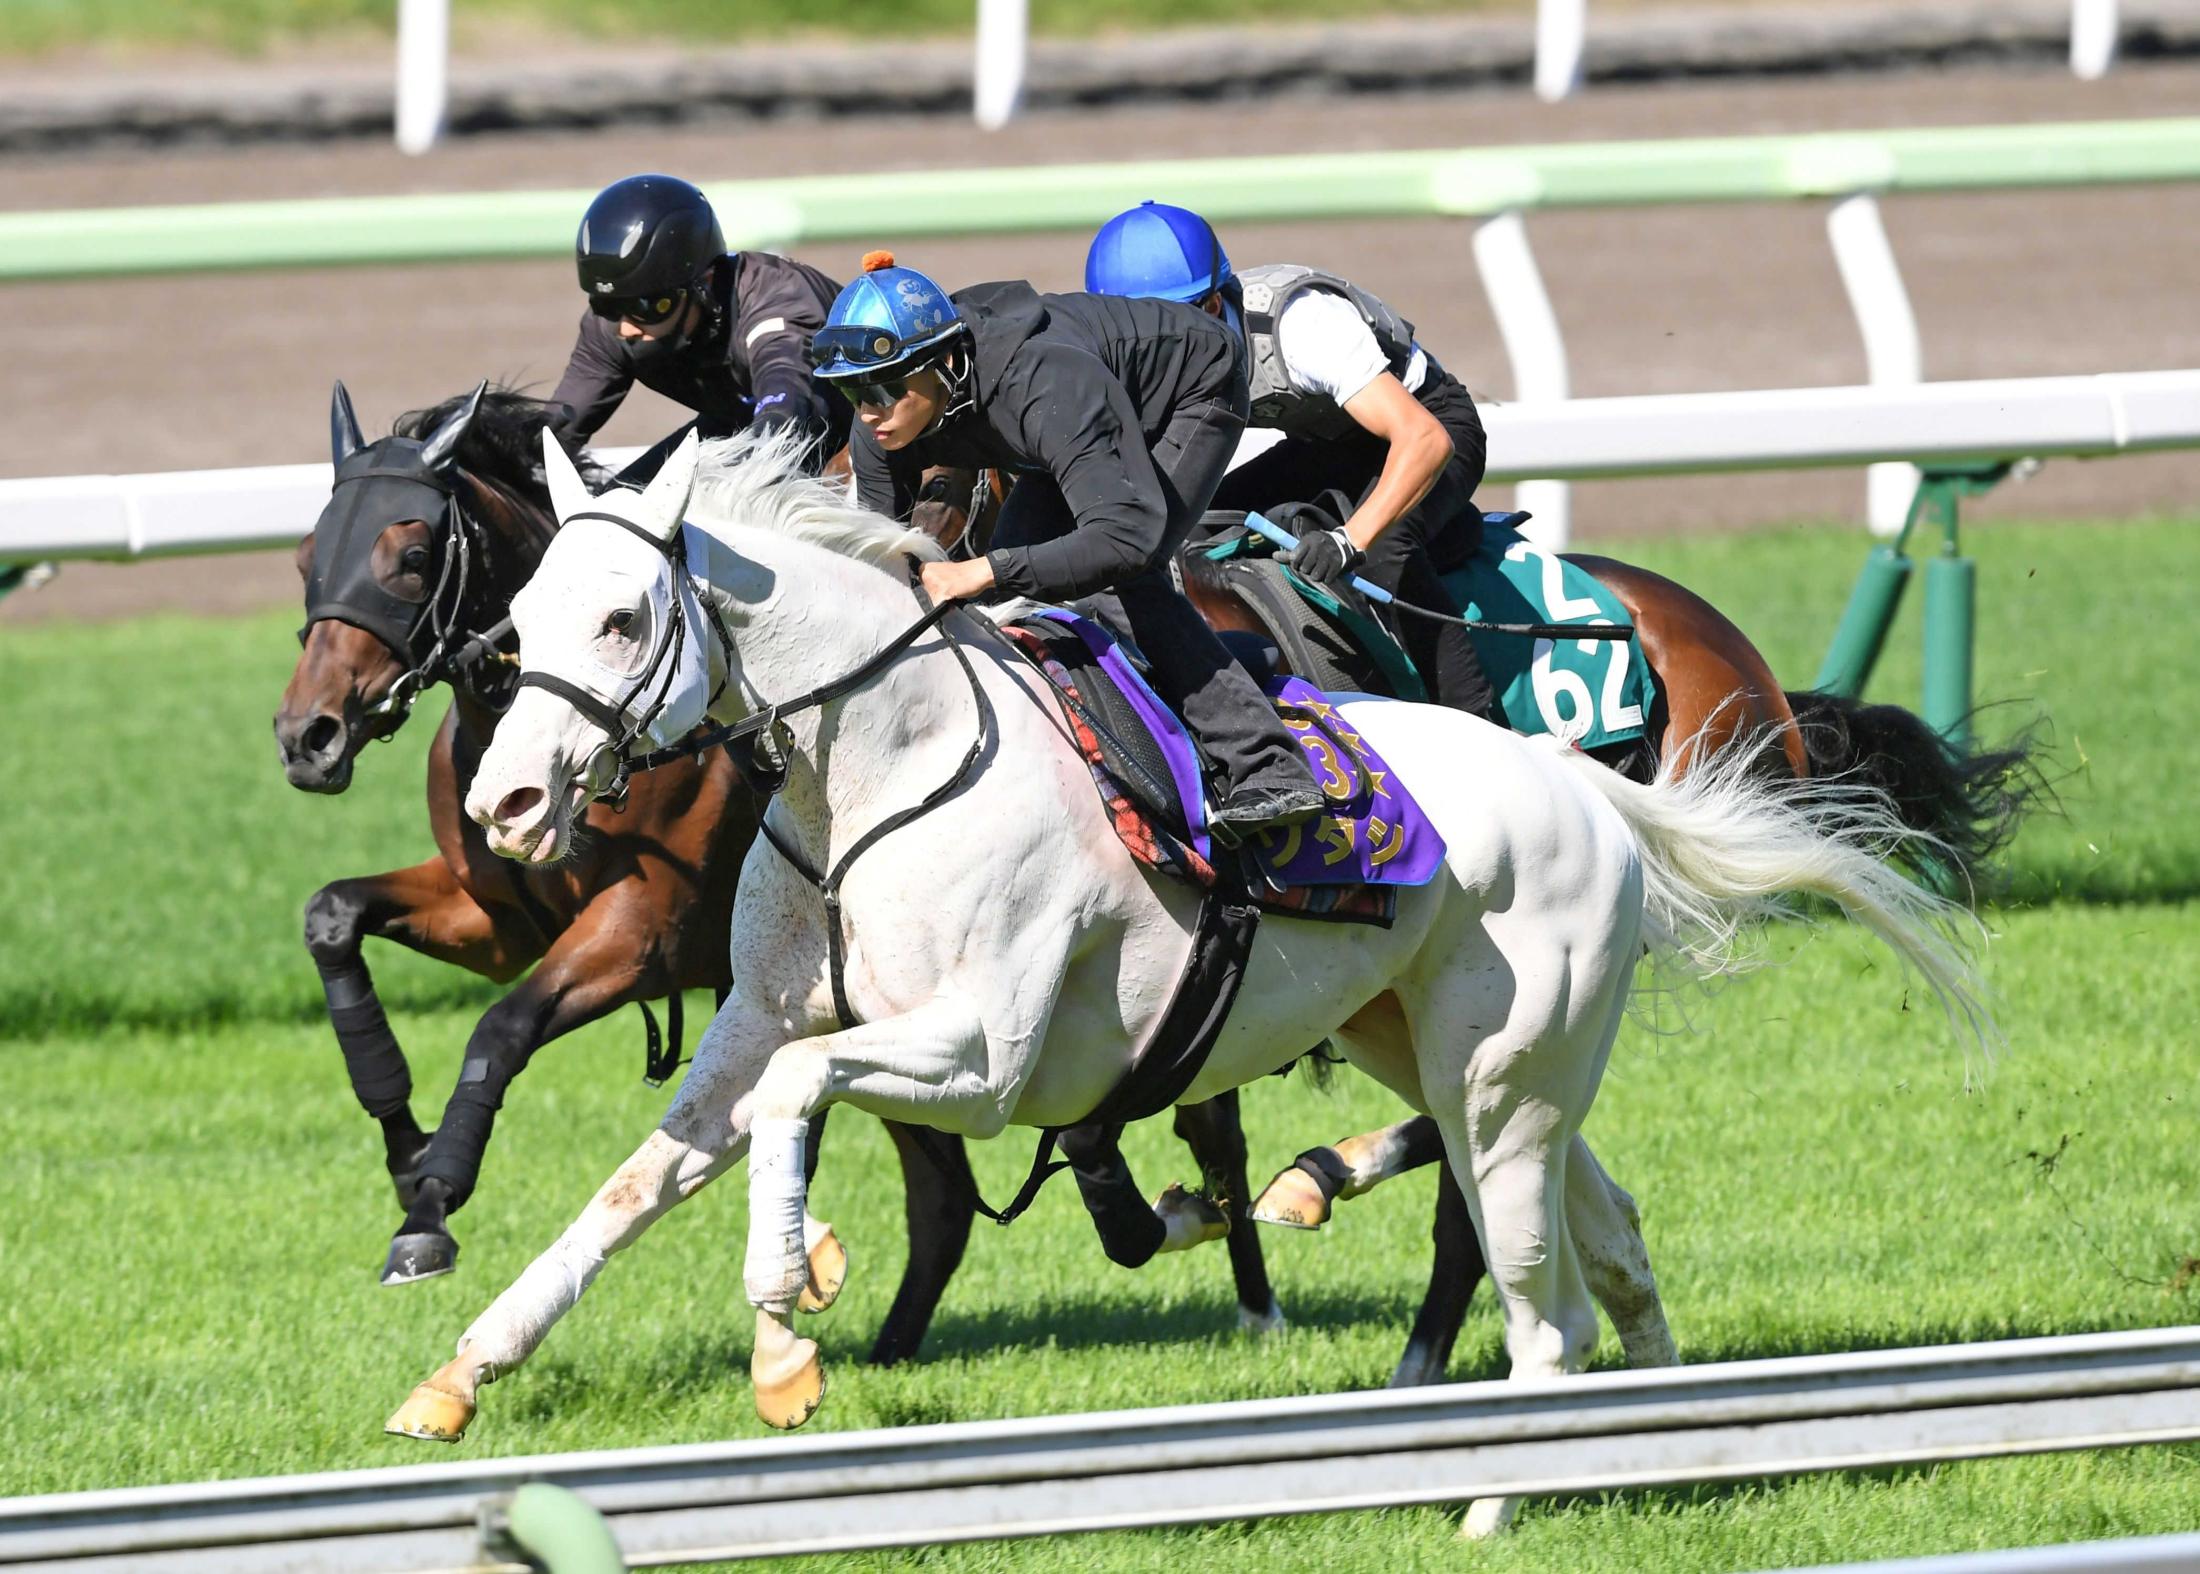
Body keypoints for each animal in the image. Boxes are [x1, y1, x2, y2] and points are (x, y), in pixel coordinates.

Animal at [396, 433, 1997, 1549]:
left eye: (621, 618)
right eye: (520, 613)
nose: (508, 802)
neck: (885, 760)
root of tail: (1582, 782)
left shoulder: (986, 1055)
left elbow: (810, 1105)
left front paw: (791, 1321)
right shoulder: (758, 1022)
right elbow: (632, 1184)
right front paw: (461, 1370)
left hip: (1497, 1079)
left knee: (1541, 1303)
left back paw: (1489, 1500)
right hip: (1449, 1056)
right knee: (1612, 1242)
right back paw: (1652, 1437)